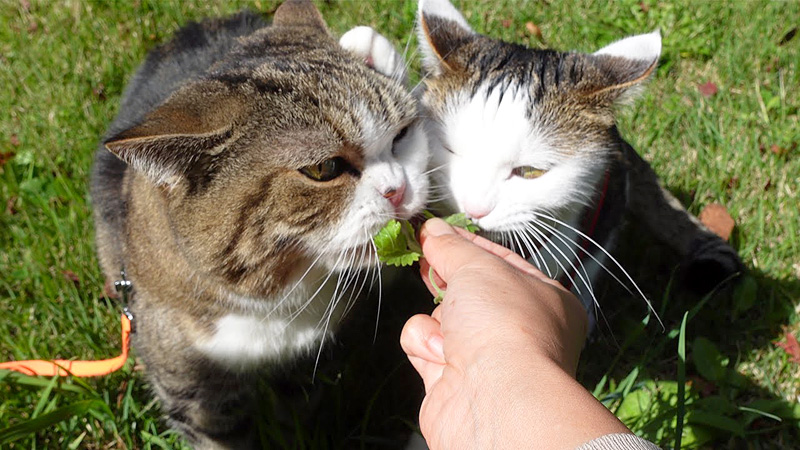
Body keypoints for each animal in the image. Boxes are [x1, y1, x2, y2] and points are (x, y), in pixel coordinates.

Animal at [91, 1, 428, 448]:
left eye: (402, 134)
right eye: (323, 168)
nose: (398, 189)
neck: (279, 302)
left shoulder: (305, 363)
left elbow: (297, 413)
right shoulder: (194, 392)